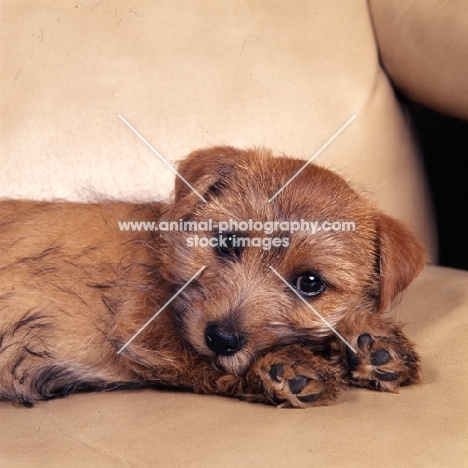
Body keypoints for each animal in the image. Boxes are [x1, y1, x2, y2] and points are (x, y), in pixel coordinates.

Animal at [0, 146, 424, 406]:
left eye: (310, 283)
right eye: (228, 242)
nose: (221, 338)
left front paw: (371, 343)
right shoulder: (146, 334)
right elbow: (212, 366)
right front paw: (289, 364)